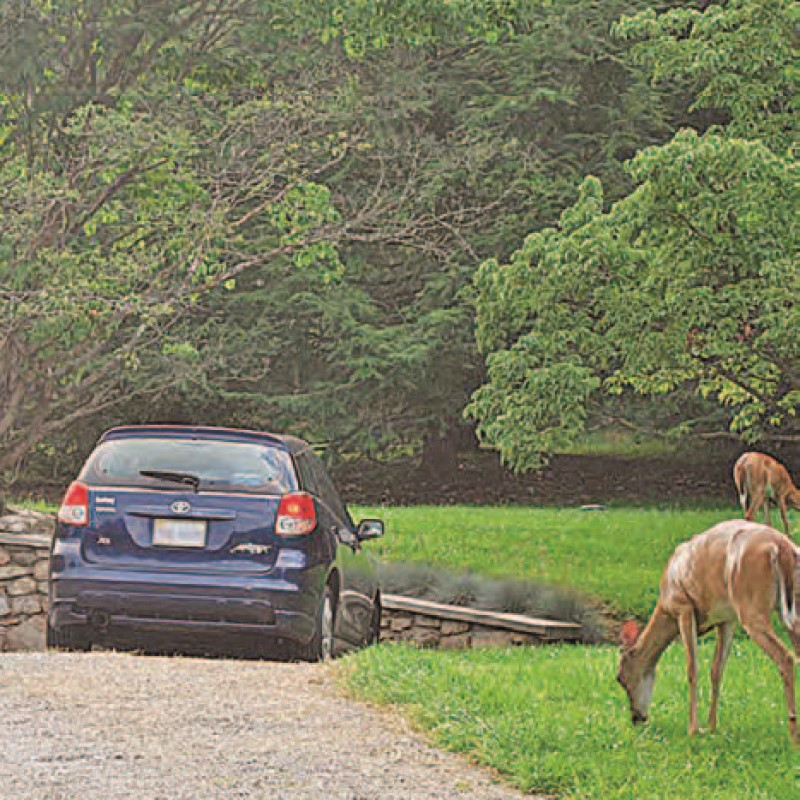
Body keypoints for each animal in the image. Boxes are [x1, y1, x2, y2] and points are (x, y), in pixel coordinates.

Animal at [616, 520, 796, 740]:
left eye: (620, 678)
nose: (636, 719)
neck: (665, 606)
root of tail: (781, 547)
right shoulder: (726, 618)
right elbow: (717, 669)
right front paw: (712, 727)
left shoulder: (683, 606)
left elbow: (692, 668)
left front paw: (694, 728)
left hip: (751, 606)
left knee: (785, 657)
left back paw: (793, 735)